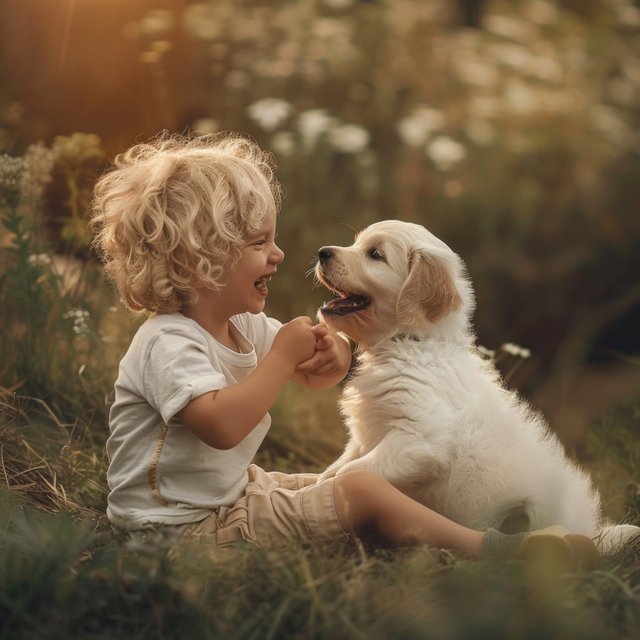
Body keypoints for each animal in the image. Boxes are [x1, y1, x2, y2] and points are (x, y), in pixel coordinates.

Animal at [316, 221, 640, 556]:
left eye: (375, 254)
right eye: (357, 244)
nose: (322, 252)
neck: (407, 342)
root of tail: (591, 532)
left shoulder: (418, 440)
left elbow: (350, 473)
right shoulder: (363, 439)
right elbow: (336, 467)